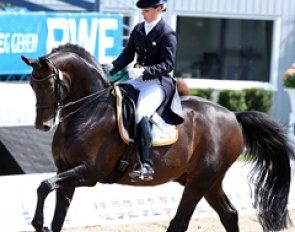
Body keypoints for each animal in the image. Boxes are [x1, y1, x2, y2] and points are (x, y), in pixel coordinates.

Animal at [22, 44, 294, 232]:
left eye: (50, 85)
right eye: (32, 86)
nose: (43, 125)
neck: (89, 110)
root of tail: (231, 114)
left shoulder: (88, 173)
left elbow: (43, 185)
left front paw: (37, 222)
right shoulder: (66, 171)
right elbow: (55, 211)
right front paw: (42, 223)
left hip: (200, 181)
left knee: (180, 222)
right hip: (207, 180)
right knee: (229, 214)